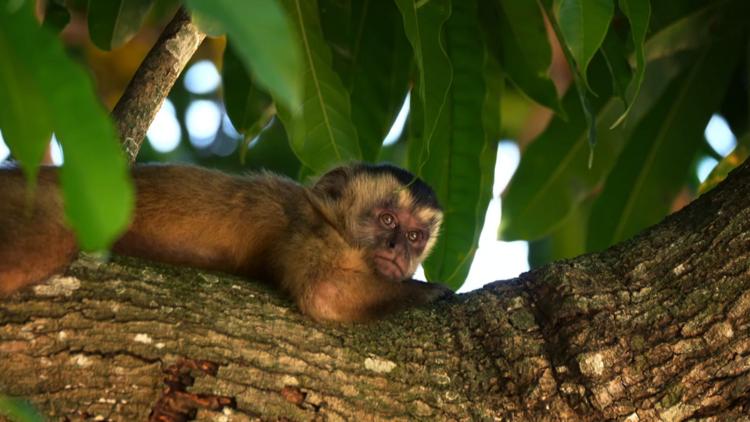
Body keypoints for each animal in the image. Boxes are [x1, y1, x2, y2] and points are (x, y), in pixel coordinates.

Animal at [0, 163, 452, 322]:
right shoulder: (310, 230)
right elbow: (325, 290)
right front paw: (429, 292)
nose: (398, 250)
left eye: (415, 236)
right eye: (387, 219)